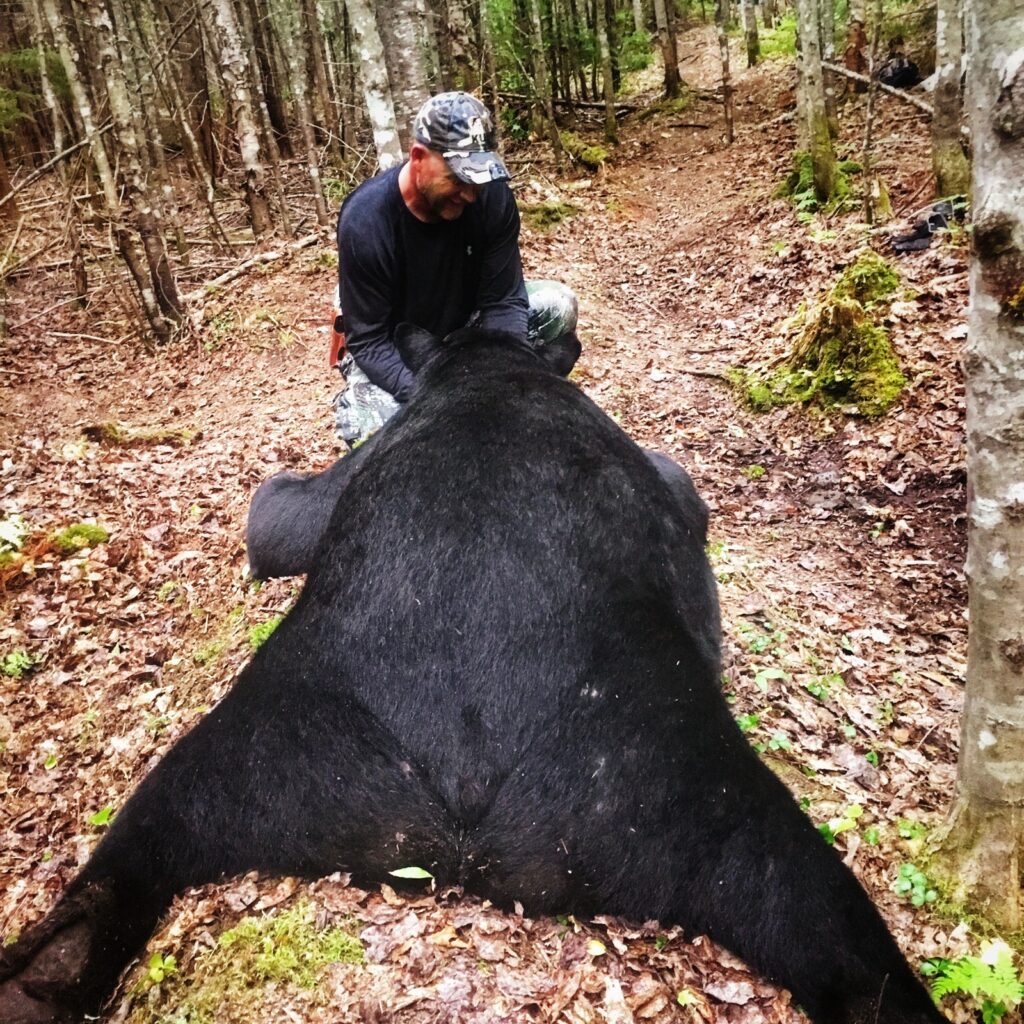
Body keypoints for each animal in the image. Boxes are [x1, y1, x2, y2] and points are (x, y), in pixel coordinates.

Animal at [0, 327, 942, 1024]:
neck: (485, 368)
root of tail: (462, 805)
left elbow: (272, 514)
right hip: (657, 762)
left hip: (283, 744)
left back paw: (38, 979)